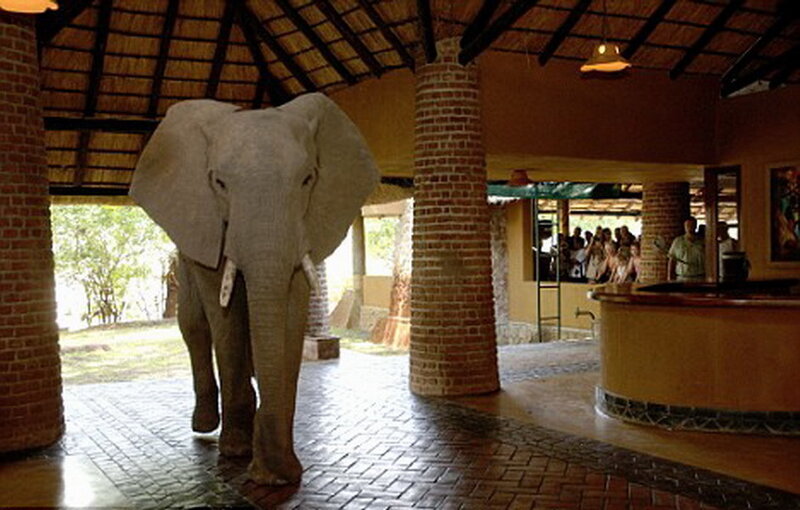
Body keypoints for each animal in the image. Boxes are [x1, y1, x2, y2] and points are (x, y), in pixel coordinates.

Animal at [129, 93, 379, 485]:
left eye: (308, 179)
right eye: (219, 182)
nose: (272, 472)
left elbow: (291, 303)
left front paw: (277, 469)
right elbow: (223, 312)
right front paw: (237, 450)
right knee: (193, 322)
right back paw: (205, 425)